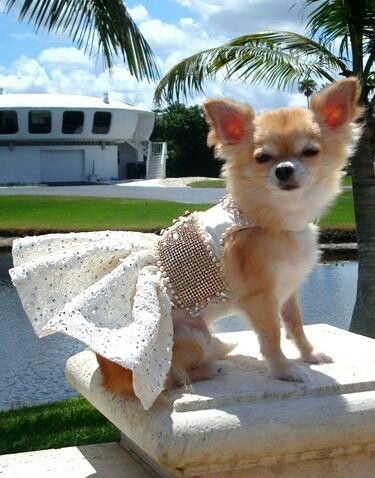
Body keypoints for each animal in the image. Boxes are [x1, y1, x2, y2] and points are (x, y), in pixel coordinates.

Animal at [98, 76, 362, 394]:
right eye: (262, 158)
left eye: (311, 152)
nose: (284, 169)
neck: (272, 219)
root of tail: (109, 377)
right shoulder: (260, 298)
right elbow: (272, 336)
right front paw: (284, 370)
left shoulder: (288, 290)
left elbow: (295, 324)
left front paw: (309, 355)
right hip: (192, 335)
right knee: (174, 379)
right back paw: (215, 366)